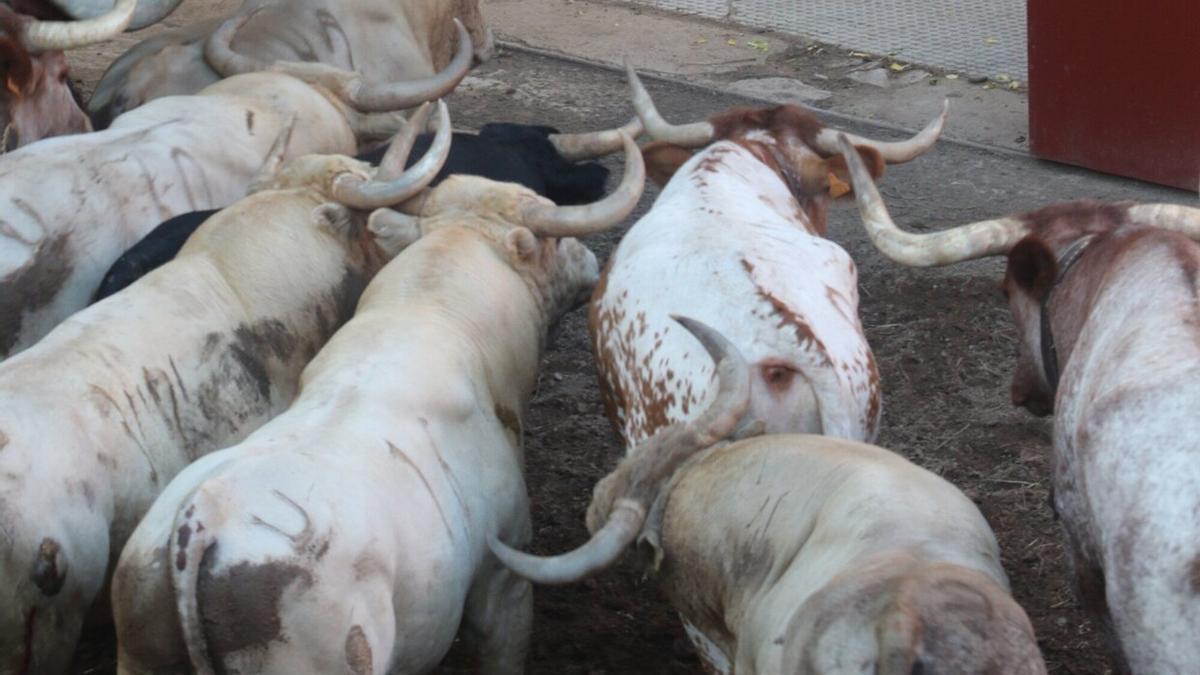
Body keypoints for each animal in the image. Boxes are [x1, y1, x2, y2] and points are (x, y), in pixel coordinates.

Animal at [112, 131, 648, 672]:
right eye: (553, 239)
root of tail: (198, 527)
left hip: (139, 653)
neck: (438, 316)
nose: (591, 261)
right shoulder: (504, 581)